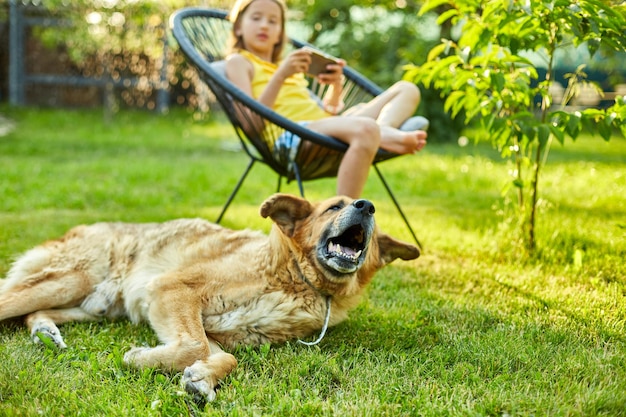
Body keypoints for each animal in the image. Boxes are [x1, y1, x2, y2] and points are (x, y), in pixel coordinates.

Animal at [2, 193, 420, 402]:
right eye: (335, 206)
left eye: (372, 214)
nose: (367, 206)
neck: (295, 280)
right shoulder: (174, 290)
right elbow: (192, 346)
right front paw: (142, 358)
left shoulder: (216, 335)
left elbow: (223, 357)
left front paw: (201, 380)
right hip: (70, 280)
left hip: (94, 305)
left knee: (34, 313)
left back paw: (45, 332)